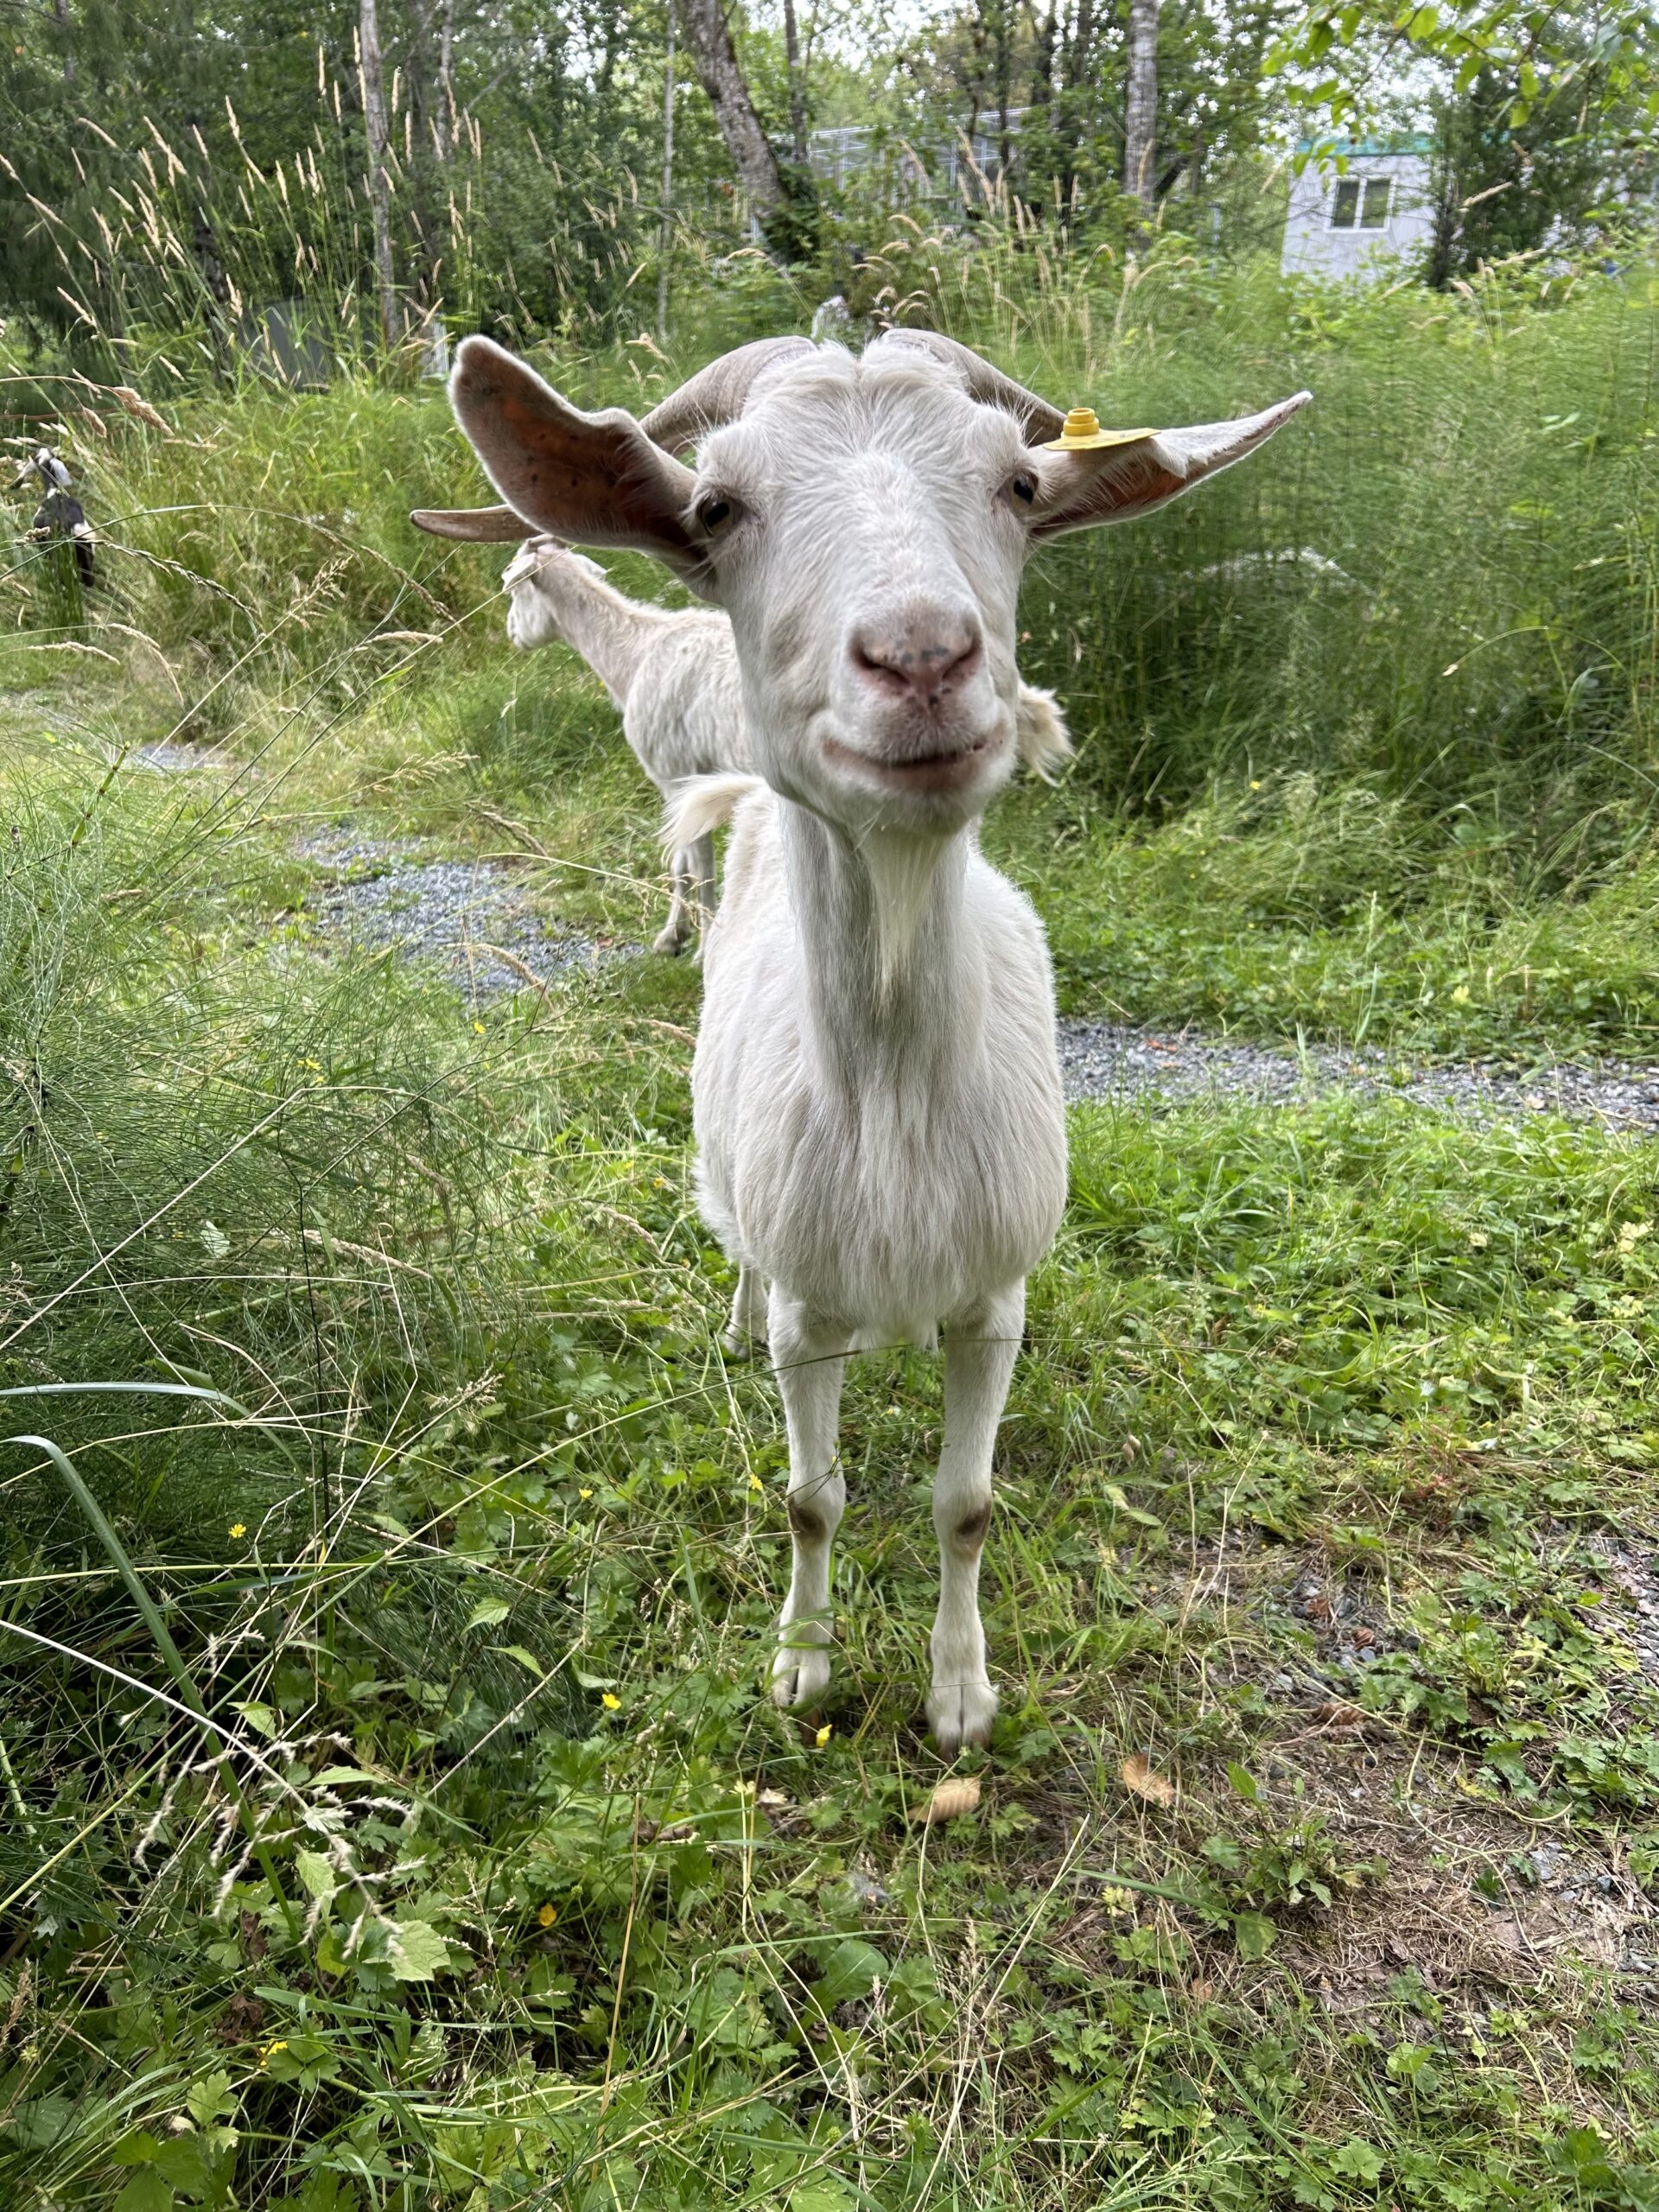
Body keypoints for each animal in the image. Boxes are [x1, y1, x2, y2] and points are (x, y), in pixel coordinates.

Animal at [424, 332, 1306, 1750]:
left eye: (1017, 484)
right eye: (715, 508)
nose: (922, 657)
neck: (895, 1101)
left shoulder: (995, 1300)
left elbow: (967, 1504)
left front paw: (960, 1696)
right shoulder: (814, 1307)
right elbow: (811, 1496)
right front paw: (804, 1666)